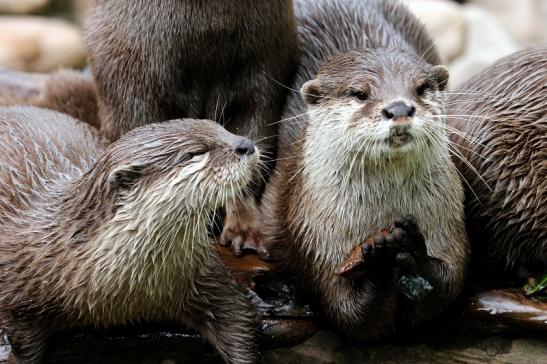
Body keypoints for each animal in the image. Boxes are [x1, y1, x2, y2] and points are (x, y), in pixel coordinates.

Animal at [0, 106, 262, 362]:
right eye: (195, 153)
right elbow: (24, 347)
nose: (246, 144)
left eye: (221, 128)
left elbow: (237, 317)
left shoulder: (203, 272)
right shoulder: (20, 299)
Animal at [260, 0, 468, 338]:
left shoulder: (447, 223)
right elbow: (345, 311)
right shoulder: (315, 236)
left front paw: (415, 250)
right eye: (359, 93)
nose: (399, 108)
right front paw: (380, 258)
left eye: (421, 88)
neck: (382, 212)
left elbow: (450, 283)